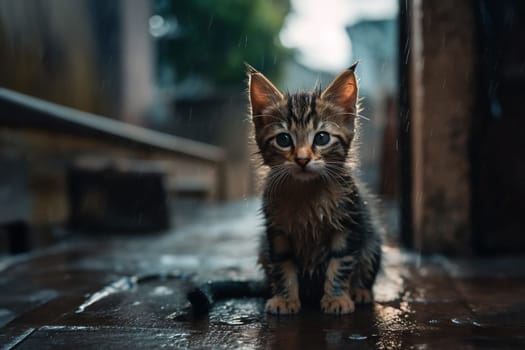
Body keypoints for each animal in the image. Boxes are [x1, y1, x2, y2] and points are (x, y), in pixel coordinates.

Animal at [248, 63, 382, 314]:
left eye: (321, 138)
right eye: (283, 140)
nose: (302, 159)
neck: (307, 191)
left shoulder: (349, 223)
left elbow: (340, 263)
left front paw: (336, 298)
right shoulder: (276, 231)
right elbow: (282, 265)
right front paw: (285, 299)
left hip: (372, 239)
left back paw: (360, 291)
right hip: (263, 246)